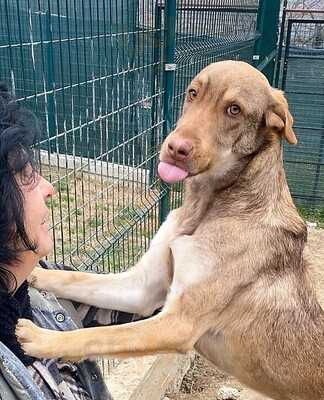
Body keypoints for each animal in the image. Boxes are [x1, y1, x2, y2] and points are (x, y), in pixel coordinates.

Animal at [16, 59, 324, 400]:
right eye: (192, 93)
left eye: (234, 110)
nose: (176, 148)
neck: (204, 207)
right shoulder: (142, 289)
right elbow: (77, 279)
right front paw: (36, 274)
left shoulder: (177, 323)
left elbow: (104, 335)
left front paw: (42, 338)